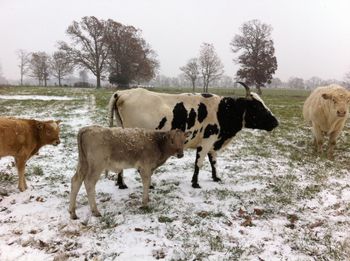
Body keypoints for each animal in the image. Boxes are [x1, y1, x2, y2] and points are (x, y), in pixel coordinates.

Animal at [108, 82, 278, 188]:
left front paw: (216, 178)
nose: (276, 122)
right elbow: (199, 163)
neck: (222, 110)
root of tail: (123, 93)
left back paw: (121, 184)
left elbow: (213, 162)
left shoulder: (213, 143)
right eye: (257, 106)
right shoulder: (207, 141)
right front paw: (195, 183)